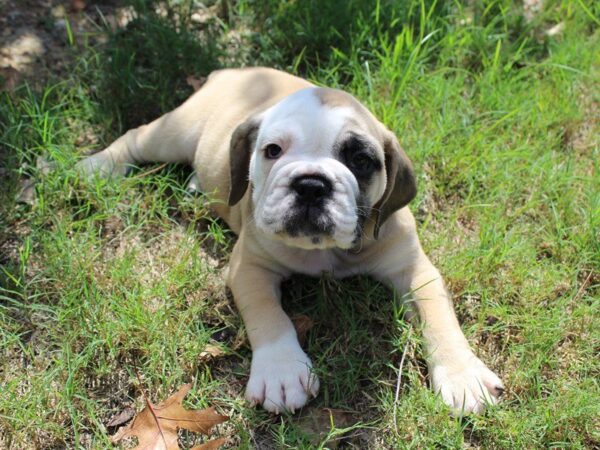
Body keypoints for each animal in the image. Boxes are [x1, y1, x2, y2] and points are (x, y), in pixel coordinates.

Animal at [78, 67, 502, 414]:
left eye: (361, 161)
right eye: (272, 151)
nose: (312, 184)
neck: (326, 252)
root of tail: (231, 72)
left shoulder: (414, 270)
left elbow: (438, 315)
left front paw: (462, 375)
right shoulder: (248, 268)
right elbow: (269, 315)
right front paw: (280, 372)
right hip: (175, 133)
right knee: (137, 137)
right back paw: (94, 167)